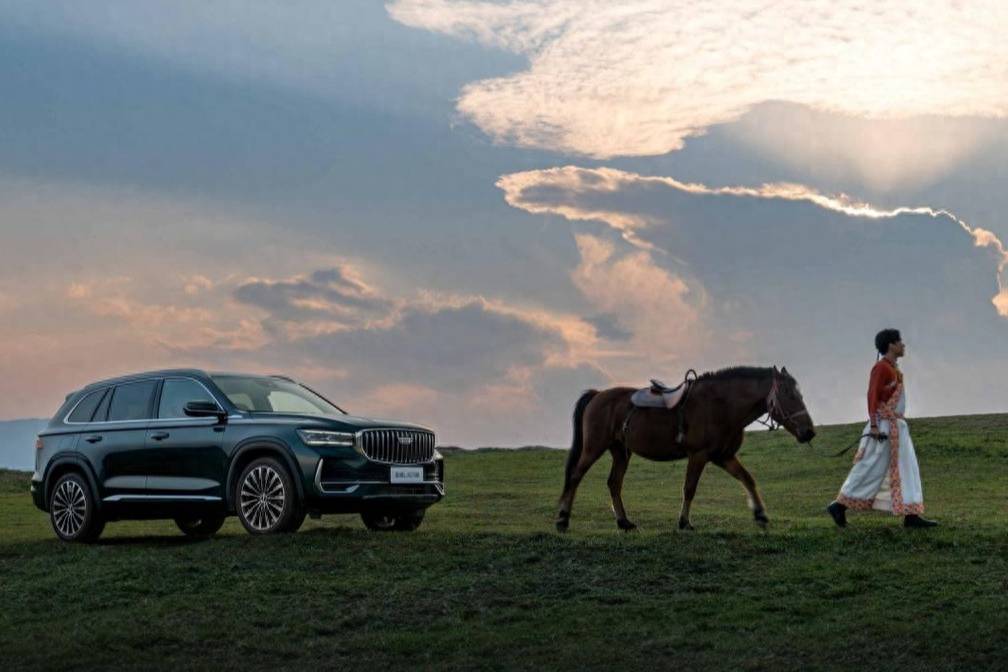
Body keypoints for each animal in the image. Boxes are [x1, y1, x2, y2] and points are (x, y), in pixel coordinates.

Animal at [556, 364, 814, 531]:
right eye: (789, 395)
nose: (809, 432)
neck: (721, 405)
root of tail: (598, 395)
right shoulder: (698, 456)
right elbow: (689, 488)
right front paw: (684, 522)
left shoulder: (724, 456)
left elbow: (748, 479)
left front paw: (760, 514)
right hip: (594, 448)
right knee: (576, 477)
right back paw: (562, 520)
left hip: (621, 452)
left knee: (614, 483)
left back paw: (624, 522)